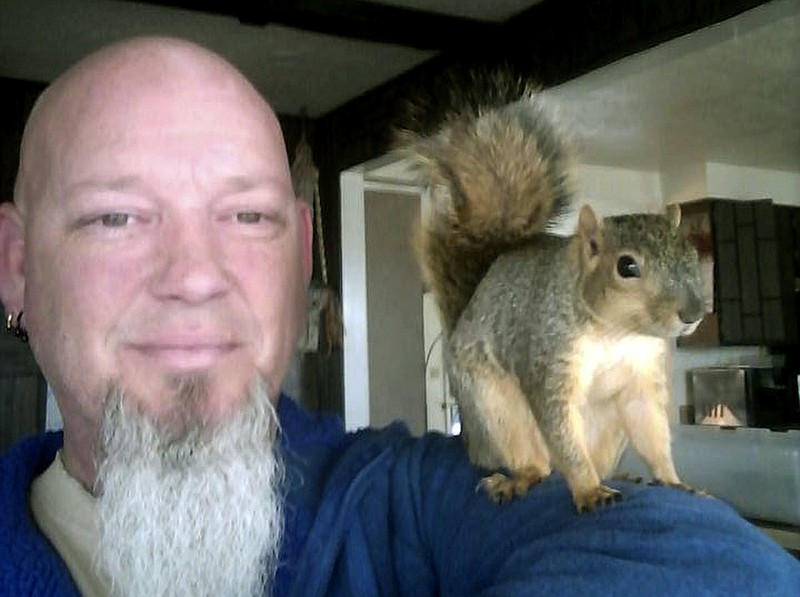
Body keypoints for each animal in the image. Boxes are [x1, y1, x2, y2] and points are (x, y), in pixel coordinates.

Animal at [396, 79, 704, 512]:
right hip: (496, 410)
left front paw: (675, 482)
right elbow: (562, 435)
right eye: (626, 266)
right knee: (538, 464)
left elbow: (652, 432)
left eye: (692, 253)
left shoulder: (642, 377)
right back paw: (519, 479)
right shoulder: (548, 355)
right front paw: (589, 490)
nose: (693, 314)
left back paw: (619, 474)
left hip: (608, 429)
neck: (619, 332)